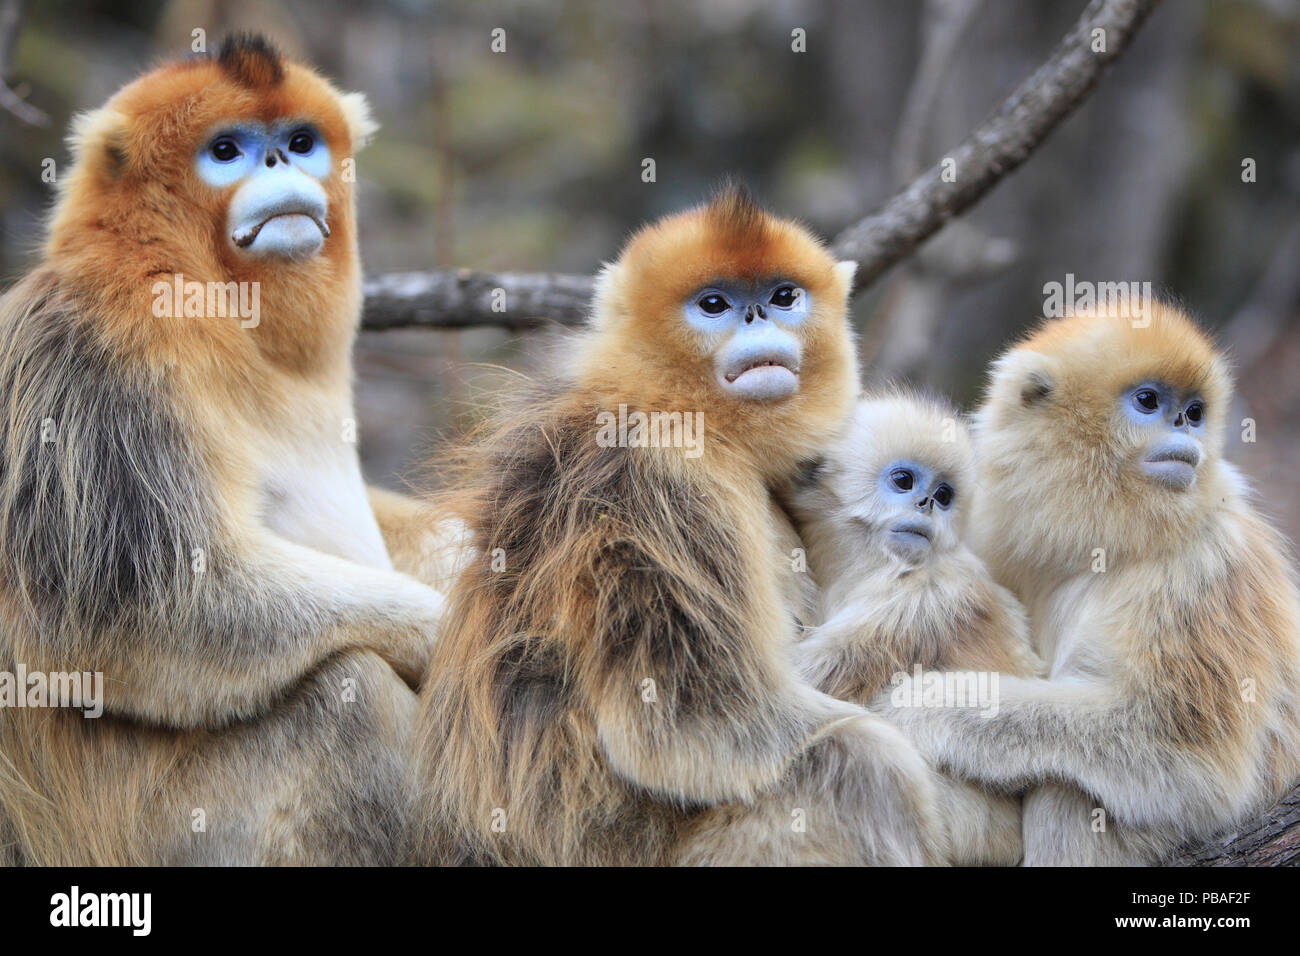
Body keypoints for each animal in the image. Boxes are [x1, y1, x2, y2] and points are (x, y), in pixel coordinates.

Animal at [0, 35, 445, 865]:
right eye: (227, 151)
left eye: (299, 141)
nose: (277, 164)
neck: (190, 276)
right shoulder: (103, 356)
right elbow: (149, 610)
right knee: (350, 701)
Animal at [410, 184, 945, 866]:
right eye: (713, 304)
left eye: (783, 296)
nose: (758, 317)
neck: (677, 407)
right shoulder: (655, 483)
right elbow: (686, 730)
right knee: (857, 763)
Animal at [871, 302, 1300, 865]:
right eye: (1149, 401)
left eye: (1195, 412)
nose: (1185, 426)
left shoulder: (1205, 564)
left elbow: (1192, 762)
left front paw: (924, 707)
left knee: (1071, 794)